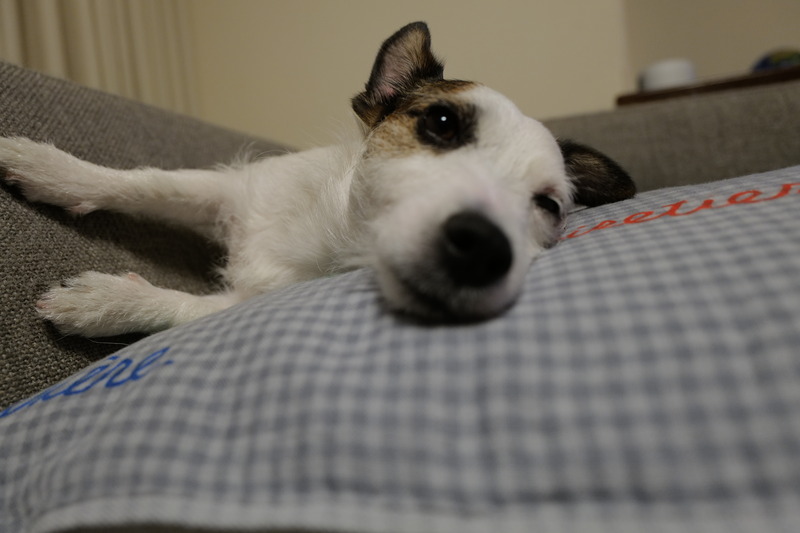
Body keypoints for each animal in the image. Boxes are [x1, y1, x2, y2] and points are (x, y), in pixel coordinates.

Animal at [0, 22, 634, 337]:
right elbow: (147, 183)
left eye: (548, 206)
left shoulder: (249, 302)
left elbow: (178, 306)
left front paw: (105, 302)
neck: (333, 232)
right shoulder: (230, 191)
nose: (482, 248)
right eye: (442, 122)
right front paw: (48, 168)